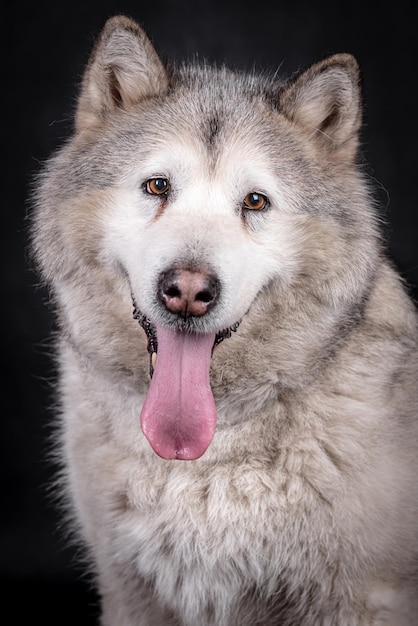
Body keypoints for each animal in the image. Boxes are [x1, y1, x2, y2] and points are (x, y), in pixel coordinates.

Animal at [31, 13, 418, 624]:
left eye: (255, 202)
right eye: (158, 186)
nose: (187, 293)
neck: (206, 454)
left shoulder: (365, 597)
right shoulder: (131, 596)